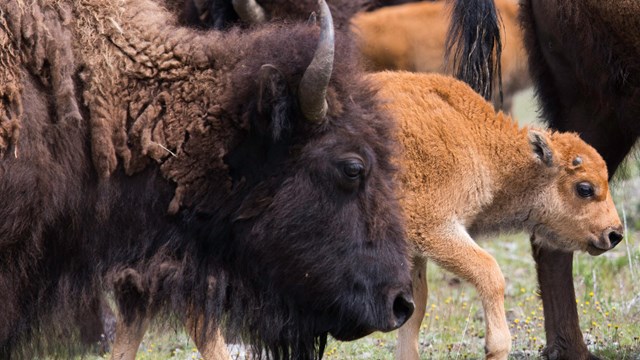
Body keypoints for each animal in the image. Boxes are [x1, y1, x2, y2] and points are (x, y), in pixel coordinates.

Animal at [370, 71, 620, 358]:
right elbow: (490, 273)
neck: (476, 140)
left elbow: (415, 308)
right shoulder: (435, 228)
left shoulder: (416, 251)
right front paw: (496, 347)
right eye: (584, 188)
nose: (614, 234)